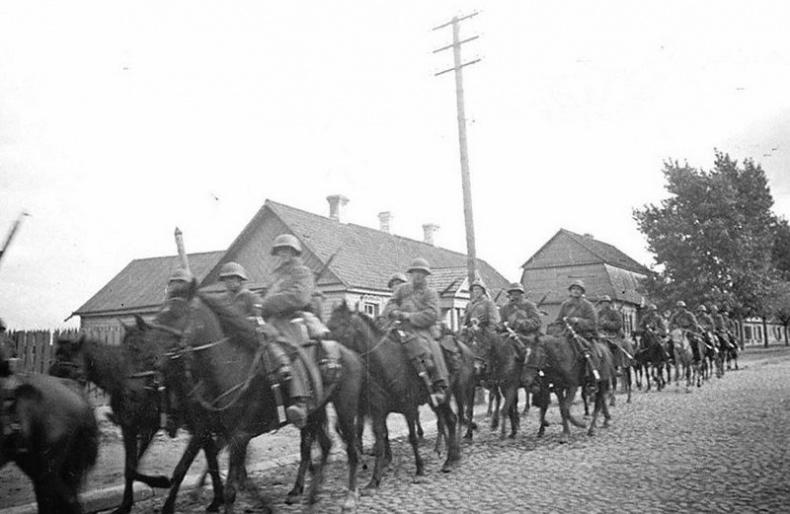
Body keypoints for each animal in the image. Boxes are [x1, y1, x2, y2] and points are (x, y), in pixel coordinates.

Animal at [51, 330, 182, 510]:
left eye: (67, 363)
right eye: (55, 359)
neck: (126, 376)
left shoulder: (138, 426)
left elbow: (131, 468)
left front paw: (160, 482)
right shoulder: (138, 427)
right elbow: (131, 465)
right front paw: (127, 502)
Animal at [141, 292, 364, 512]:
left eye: (175, 315)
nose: (151, 359)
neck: (229, 368)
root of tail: (349, 353)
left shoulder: (238, 437)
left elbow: (230, 488)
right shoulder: (213, 432)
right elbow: (207, 469)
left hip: (344, 409)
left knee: (350, 449)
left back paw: (349, 497)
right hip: (315, 412)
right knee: (323, 445)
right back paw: (308, 495)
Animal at [328, 300, 464, 488]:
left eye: (338, 325)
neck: (386, 363)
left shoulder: (409, 408)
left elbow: (412, 437)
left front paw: (419, 470)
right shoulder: (377, 411)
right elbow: (380, 439)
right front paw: (374, 480)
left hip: (444, 396)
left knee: (450, 420)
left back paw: (449, 460)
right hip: (435, 402)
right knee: (449, 420)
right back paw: (452, 457)